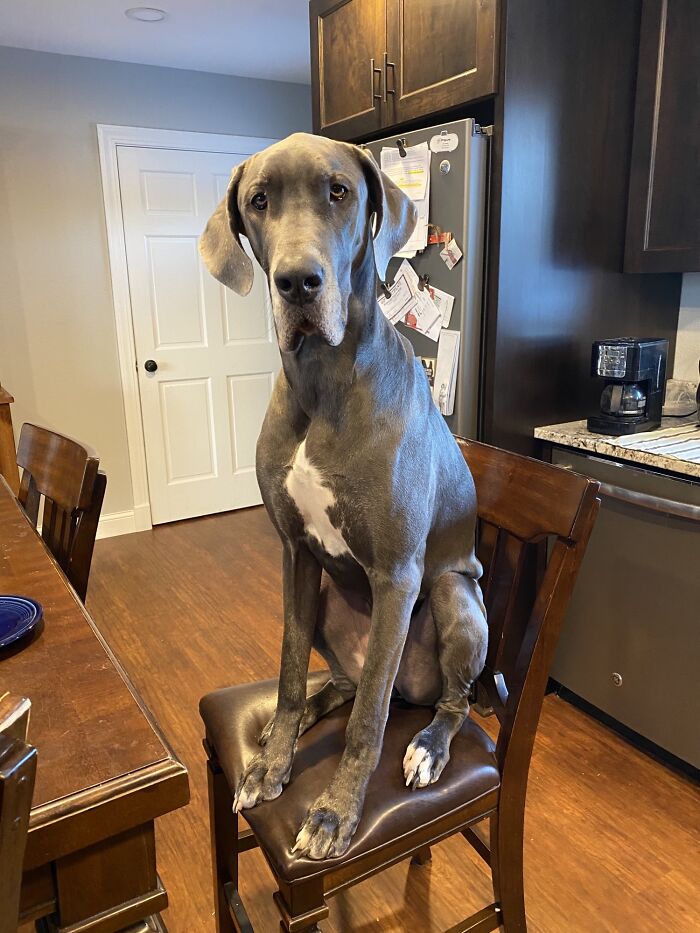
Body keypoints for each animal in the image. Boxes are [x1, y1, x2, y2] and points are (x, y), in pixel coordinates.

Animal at [198, 131, 486, 860]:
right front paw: (270, 763)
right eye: (259, 200)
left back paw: (428, 746)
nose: (298, 282)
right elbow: (289, 673)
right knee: (343, 683)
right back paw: (297, 719)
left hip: (453, 597)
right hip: (329, 596)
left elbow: (368, 723)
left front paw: (333, 813)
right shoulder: (296, 554)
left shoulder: (396, 573)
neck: (324, 376)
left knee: (442, 699)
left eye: (340, 191)